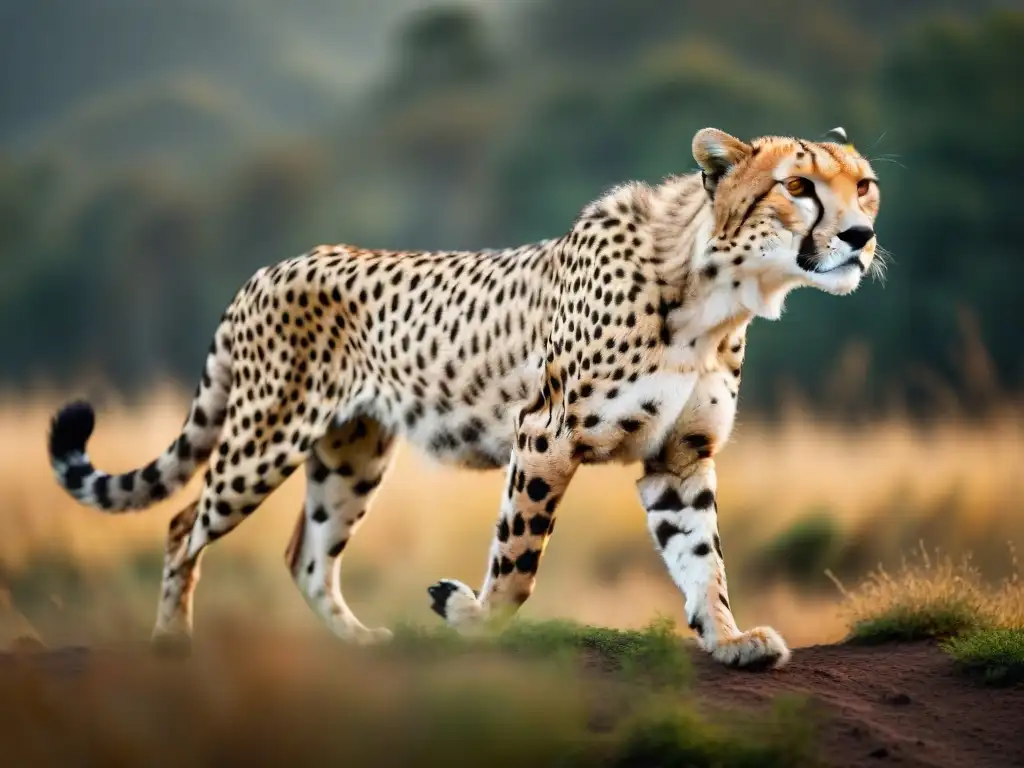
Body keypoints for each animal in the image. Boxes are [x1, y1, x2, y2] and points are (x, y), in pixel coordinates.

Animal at [46, 124, 880, 667]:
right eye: (798, 187)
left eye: (864, 185)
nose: (862, 236)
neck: (716, 294)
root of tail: (272, 266)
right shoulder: (544, 433)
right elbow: (519, 561)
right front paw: (472, 619)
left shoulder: (678, 457)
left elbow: (703, 557)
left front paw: (729, 638)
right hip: (264, 437)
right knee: (183, 521)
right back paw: (170, 641)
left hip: (351, 456)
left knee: (306, 554)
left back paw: (357, 642)